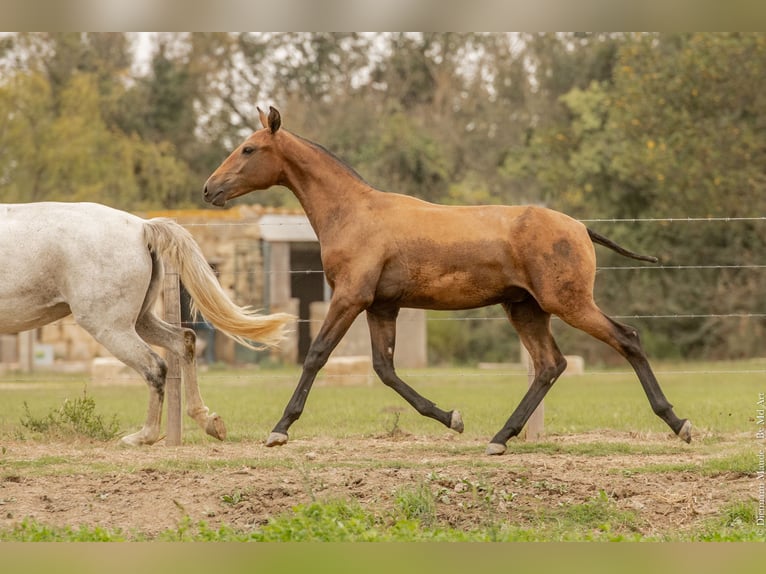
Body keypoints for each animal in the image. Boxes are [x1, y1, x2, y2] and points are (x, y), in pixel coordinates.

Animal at [0, 205, 294, 448]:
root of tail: (142, 227)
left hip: (110, 327)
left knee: (155, 367)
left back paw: (142, 437)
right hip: (140, 321)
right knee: (184, 340)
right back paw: (207, 421)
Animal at [201, 108, 692, 456]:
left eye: (248, 149)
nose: (209, 189)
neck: (354, 213)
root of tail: (580, 228)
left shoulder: (350, 297)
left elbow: (316, 356)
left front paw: (279, 429)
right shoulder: (381, 306)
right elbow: (385, 370)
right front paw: (452, 418)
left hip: (568, 305)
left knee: (626, 339)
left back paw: (678, 423)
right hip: (525, 309)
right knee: (550, 365)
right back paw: (500, 437)